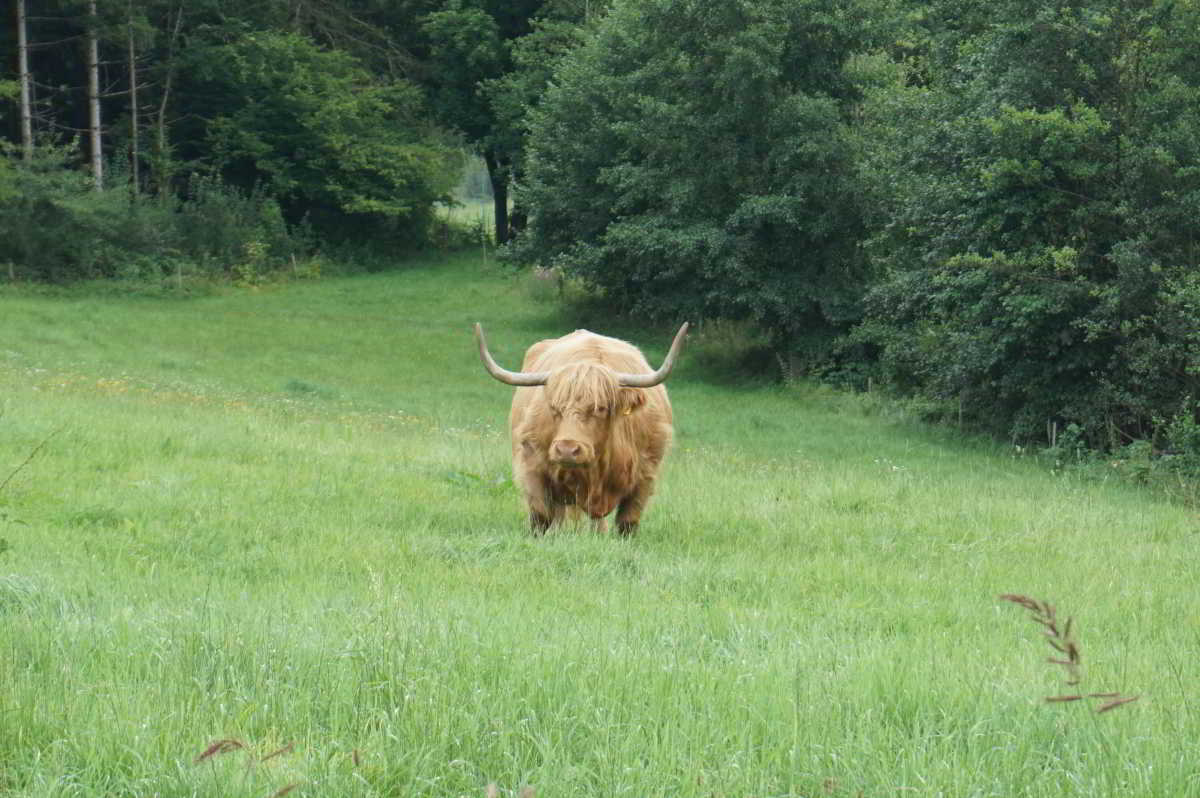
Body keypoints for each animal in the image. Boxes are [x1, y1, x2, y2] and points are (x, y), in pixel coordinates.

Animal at [472, 324, 691, 535]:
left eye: (601, 408)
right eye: (554, 408)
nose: (567, 450)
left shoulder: (646, 475)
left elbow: (627, 524)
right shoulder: (531, 464)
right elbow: (540, 518)